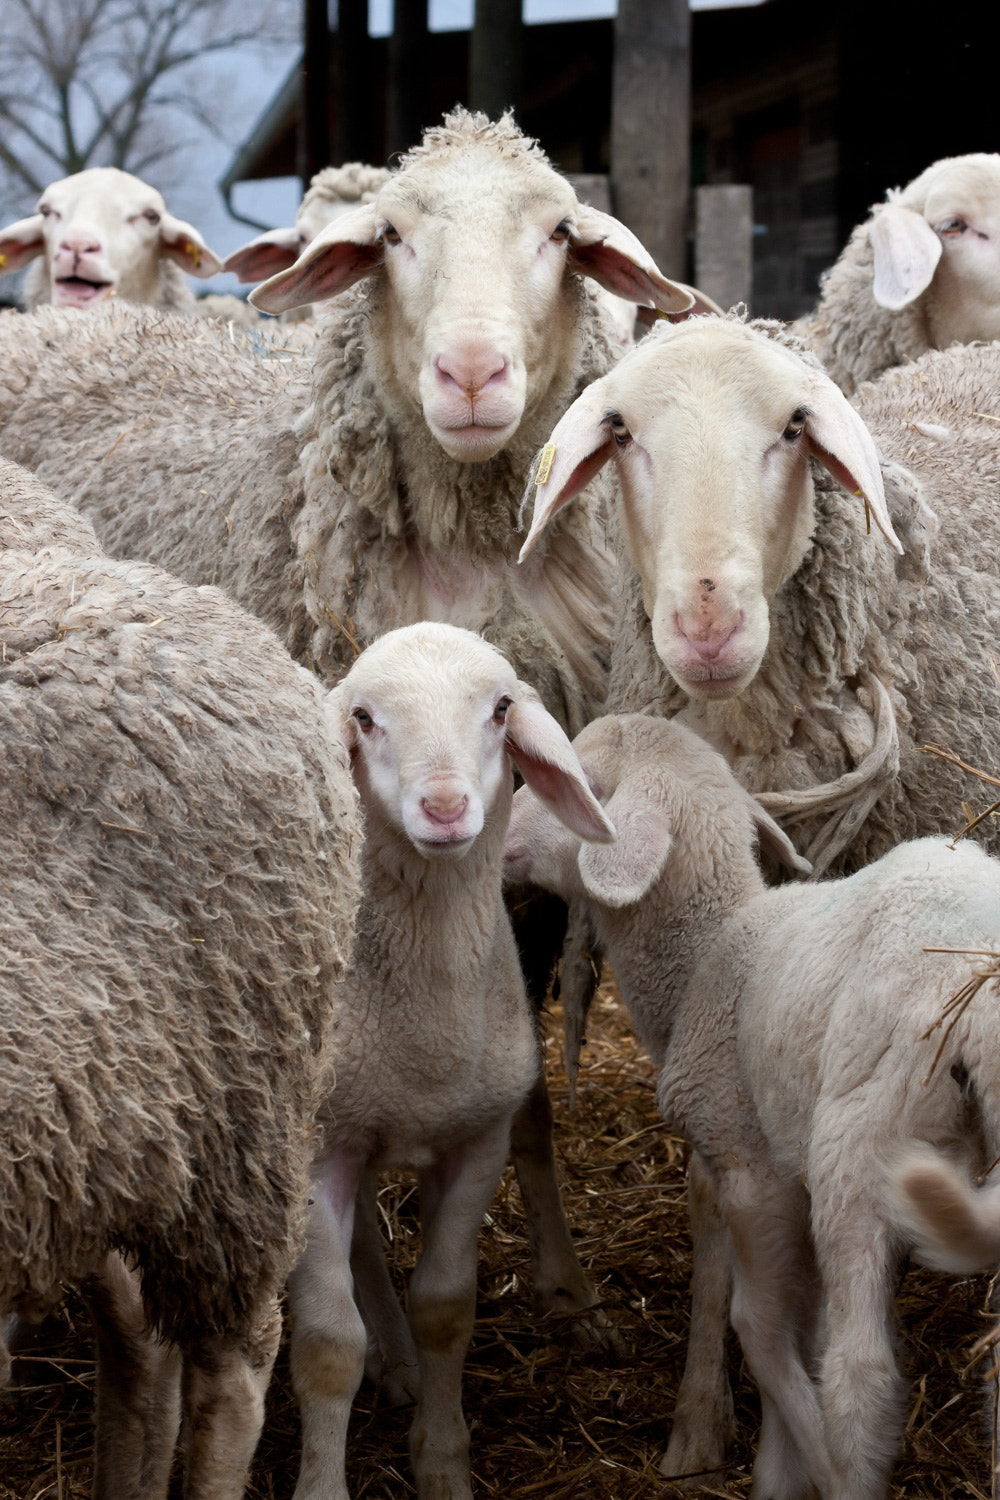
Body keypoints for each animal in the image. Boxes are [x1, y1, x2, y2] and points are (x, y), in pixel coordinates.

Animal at [291, 621, 613, 1500]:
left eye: (501, 708)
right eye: (364, 718)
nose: (443, 807)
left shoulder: (477, 1141)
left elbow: (445, 1308)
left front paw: (441, 1461)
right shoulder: (321, 1150)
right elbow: (327, 1342)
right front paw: (322, 1482)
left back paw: (402, 1366)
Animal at [504, 710, 1000, 1500]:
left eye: (573, 782)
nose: (495, 835)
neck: (708, 950)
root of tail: (977, 992)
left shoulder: (752, 1167)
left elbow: (761, 1327)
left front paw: (804, 1464)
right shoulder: (787, 1181)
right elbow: (805, 1328)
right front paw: (779, 1466)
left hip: (859, 1146)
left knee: (862, 1374)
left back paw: (846, 1470)